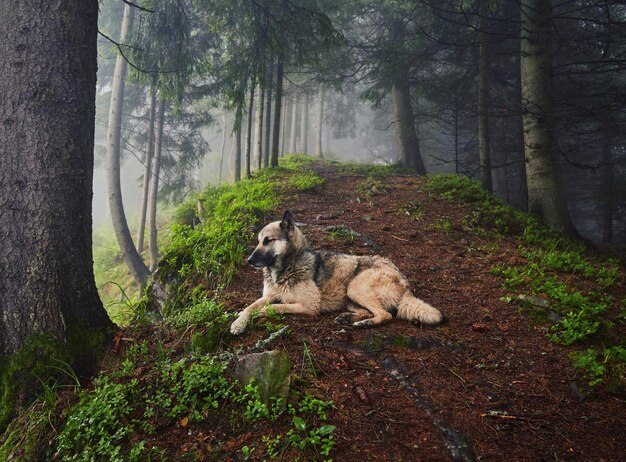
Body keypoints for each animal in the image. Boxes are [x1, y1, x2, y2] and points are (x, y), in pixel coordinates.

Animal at [230, 210, 444, 336]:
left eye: (268, 240)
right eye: (258, 241)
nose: (249, 261)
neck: (285, 267)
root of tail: (405, 282)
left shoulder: (309, 306)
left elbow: (275, 307)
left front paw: (261, 313)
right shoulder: (268, 296)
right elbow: (249, 307)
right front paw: (238, 323)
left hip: (355, 287)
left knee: (385, 314)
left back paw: (365, 323)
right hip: (350, 296)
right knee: (372, 310)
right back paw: (349, 318)